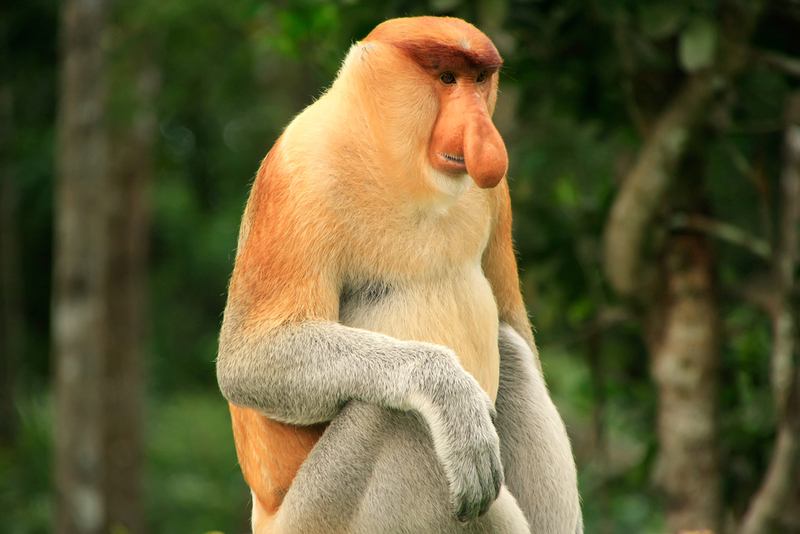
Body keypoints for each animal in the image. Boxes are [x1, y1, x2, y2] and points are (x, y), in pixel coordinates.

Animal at [219, 15, 580, 534]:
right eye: (446, 78)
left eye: (479, 80)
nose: (484, 136)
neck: (401, 166)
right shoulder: (300, 173)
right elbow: (249, 359)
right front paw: (451, 398)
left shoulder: (498, 195)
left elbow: (514, 324)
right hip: (326, 509)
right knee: (397, 418)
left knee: (510, 348)